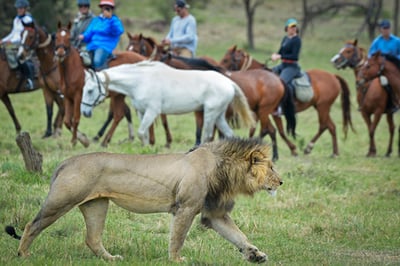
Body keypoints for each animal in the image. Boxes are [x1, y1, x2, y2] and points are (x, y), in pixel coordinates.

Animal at [6, 138, 282, 262]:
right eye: (271, 167)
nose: (281, 182)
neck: (224, 169)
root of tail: (65, 162)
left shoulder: (213, 213)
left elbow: (238, 235)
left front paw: (255, 255)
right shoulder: (186, 207)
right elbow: (178, 238)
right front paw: (176, 260)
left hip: (96, 205)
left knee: (92, 239)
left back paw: (111, 259)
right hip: (62, 201)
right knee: (31, 225)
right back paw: (23, 254)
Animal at [81, 60, 255, 145]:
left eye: (89, 90)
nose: (84, 112)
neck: (140, 81)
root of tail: (229, 82)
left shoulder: (152, 111)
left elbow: (141, 132)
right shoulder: (141, 112)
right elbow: (143, 134)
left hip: (210, 113)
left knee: (207, 136)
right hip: (218, 116)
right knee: (230, 134)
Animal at [220, 45, 354, 157]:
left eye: (226, 59)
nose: (220, 71)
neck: (259, 80)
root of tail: (333, 76)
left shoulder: (268, 112)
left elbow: (273, 130)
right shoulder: (268, 112)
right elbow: (276, 131)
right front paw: (292, 149)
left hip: (323, 107)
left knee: (324, 125)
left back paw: (310, 147)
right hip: (321, 107)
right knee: (331, 126)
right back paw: (334, 152)